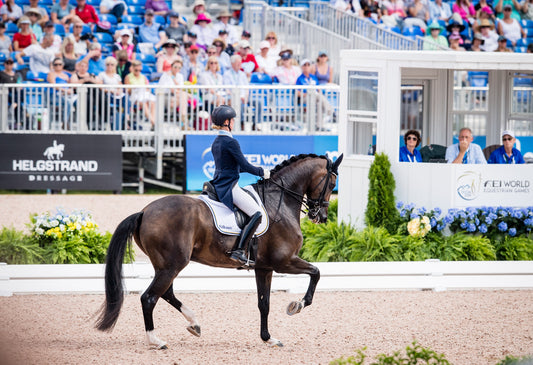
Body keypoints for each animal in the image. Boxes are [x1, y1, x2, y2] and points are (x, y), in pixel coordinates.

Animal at [96, 152, 340, 346]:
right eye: (331, 184)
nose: (321, 216)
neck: (279, 201)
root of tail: (144, 212)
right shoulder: (284, 261)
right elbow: (316, 272)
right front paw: (297, 305)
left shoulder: (264, 267)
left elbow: (264, 304)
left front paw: (268, 338)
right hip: (172, 265)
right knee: (149, 298)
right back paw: (156, 340)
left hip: (165, 265)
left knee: (165, 293)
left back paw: (194, 324)